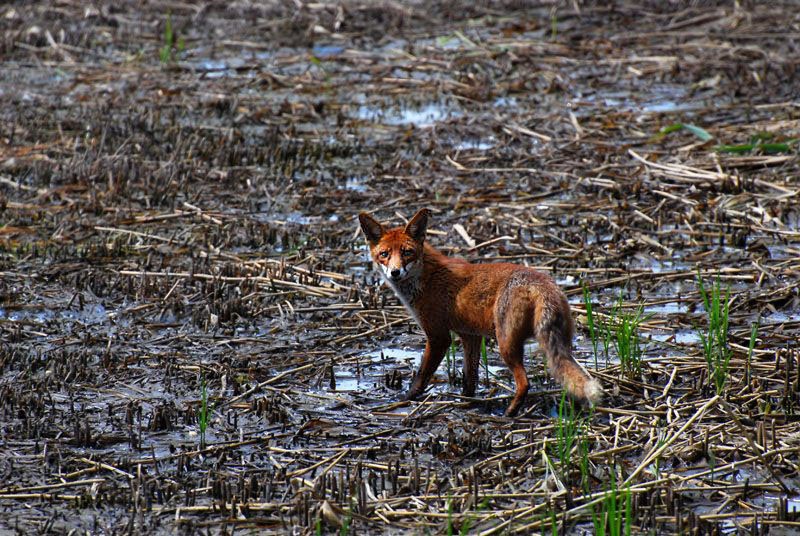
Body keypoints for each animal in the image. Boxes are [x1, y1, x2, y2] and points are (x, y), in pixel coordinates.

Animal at [360, 208, 604, 414]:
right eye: (384, 254)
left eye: (407, 252)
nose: (395, 272)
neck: (426, 278)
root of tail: (542, 282)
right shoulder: (470, 336)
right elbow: (470, 378)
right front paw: (467, 402)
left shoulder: (438, 336)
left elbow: (421, 377)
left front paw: (404, 400)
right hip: (559, 343)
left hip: (505, 344)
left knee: (525, 383)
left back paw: (508, 414)